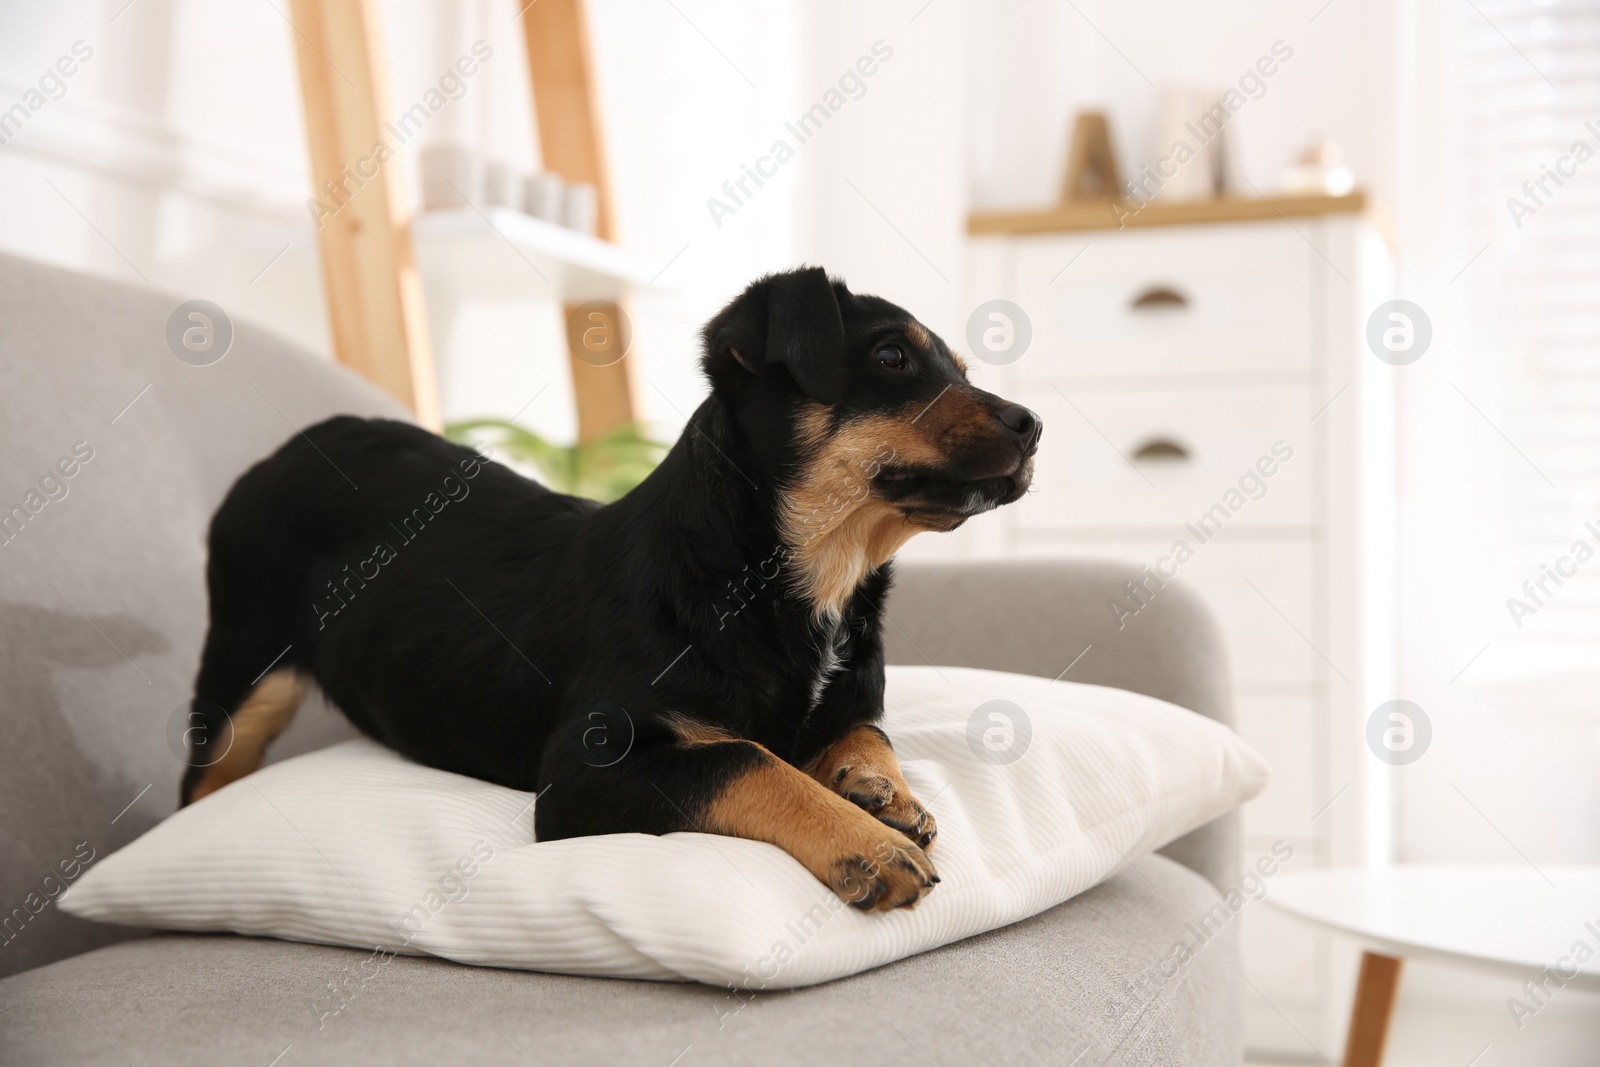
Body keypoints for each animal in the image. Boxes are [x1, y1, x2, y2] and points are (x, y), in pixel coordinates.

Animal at [184, 267, 1036, 908]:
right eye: (892, 357)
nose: (1033, 425)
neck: (807, 581)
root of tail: (291, 446)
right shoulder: (584, 770)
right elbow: (746, 759)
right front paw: (868, 844)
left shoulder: (850, 701)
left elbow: (866, 731)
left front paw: (881, 792)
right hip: (241, 671)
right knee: (200, 782)